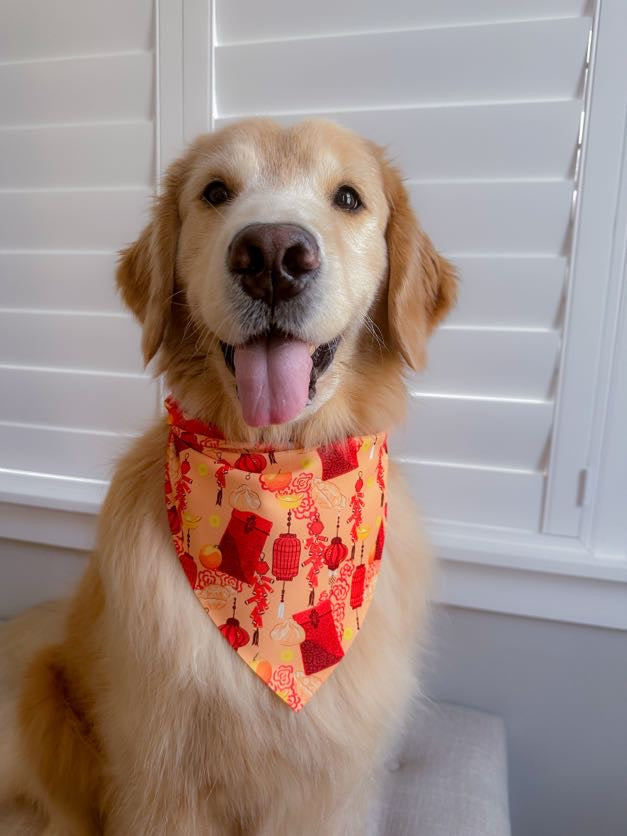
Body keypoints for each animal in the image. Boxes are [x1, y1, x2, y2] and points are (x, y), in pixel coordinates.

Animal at [0, 119, 456, 836]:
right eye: (215, 191)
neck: (271, 467)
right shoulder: (163, 788)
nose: (271, 256)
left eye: (348, 198)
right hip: (42, 701)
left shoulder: (328, 792)